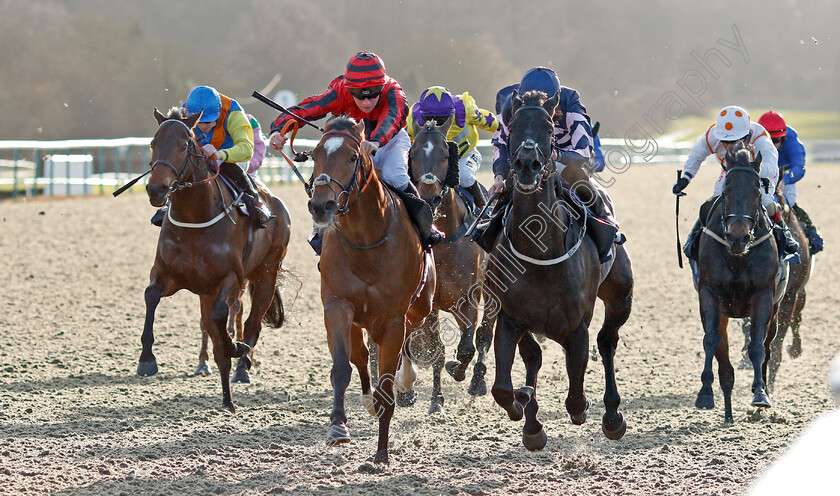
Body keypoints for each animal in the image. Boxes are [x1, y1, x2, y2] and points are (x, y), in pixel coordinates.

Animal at [142, 107, 292, 410]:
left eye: (184, 145)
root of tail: (277, 205)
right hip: (207, 290)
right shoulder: (167, 274)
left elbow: (223, 316)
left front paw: (235, 348)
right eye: (153, 143)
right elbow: (151, 296)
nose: (156, 190)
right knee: (212, 326)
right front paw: (147, 360)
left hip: (267, 273)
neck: (194, 217)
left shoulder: (231, 278)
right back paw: (225, 395)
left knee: (252, 324)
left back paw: (241, 368)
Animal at [310, 114, 440, 464]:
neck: (366, 240)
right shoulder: (337, 306)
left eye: (352, 157)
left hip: (419, 308)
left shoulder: (394, 317)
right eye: (314, 155)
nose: (321, 205)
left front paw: (381, 453)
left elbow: (388, 379)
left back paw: (406, 380)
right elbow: (343, 367)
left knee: (406, 343)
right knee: (361, 354)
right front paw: (338, 427)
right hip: (359, 321)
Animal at [408, 115, 496, 410]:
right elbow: (437, 349)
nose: (429, 195)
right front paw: (436, 400)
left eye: (446, 154)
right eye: (413, 153)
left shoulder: (468, 300)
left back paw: (478, 381)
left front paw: (457, 370)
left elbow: (468, 346)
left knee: (485, 334)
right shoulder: (430, 305)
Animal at [692, 140, 784, 422]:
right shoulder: (710, 295)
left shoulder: (764, 297)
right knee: (723, 355)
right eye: (727, 189)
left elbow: (757, 346)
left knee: (767, 346)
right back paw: (728, 413)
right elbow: (711, 340)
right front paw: (705, 394)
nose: (738, 237)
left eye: (757, 189)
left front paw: (760, 394)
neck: (738, 258)